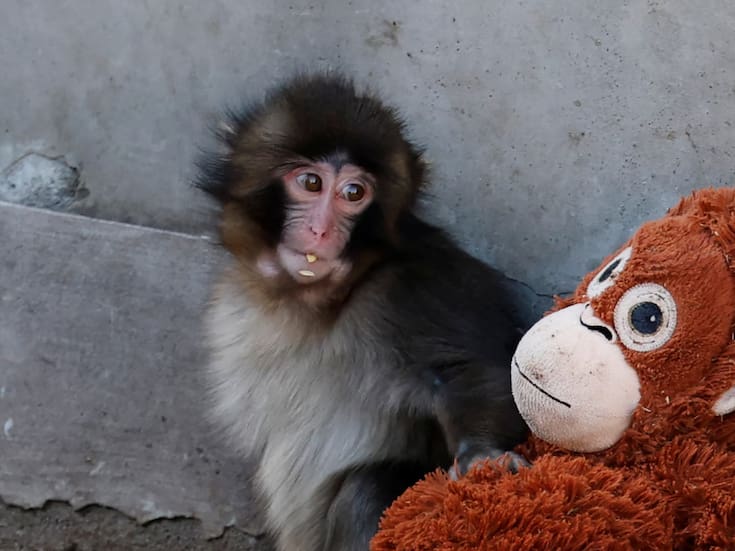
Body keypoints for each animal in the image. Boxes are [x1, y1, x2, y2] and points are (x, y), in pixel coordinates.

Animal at [196, 74, 529, 551]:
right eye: (310, 183)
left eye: (354, 193)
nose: (321, 230)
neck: (317, 302)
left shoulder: (415, 289)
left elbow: (470, 371)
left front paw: (482, 454)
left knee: (367, 489)